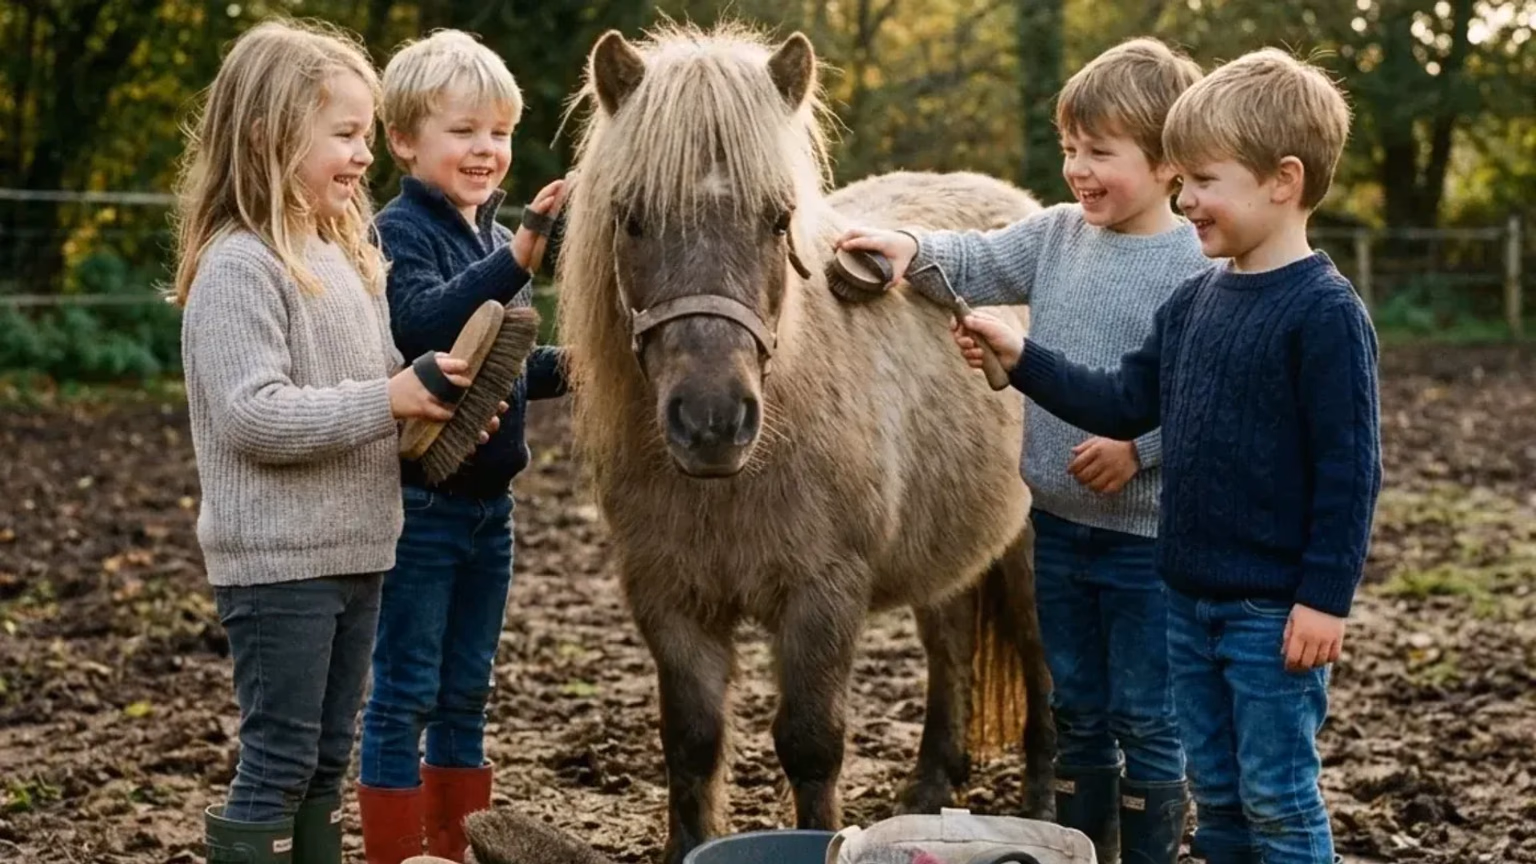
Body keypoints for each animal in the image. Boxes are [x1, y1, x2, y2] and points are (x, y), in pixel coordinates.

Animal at [553, 21, 1056, 863]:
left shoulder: (824, 596)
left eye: (776, 220)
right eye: (632, 219)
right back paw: (929, 787)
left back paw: (1048, 803)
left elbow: (811, 744)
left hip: (1028, 553)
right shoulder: (669, 600)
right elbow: (691, 743)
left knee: (1045, 667)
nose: (713, 420)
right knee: (949, 647)